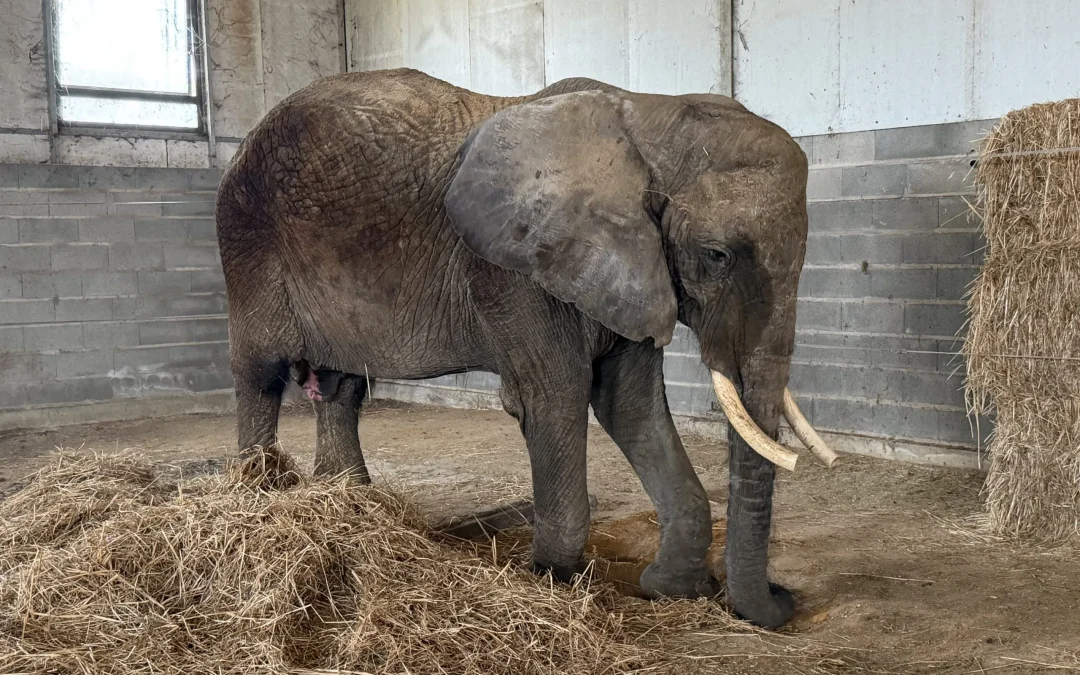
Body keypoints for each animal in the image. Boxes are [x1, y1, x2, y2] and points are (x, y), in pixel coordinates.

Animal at [215, 68, 837, 629]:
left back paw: (352, 505)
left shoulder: (630, 267)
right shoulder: (517, 272)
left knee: (340, 385)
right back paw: (258, 493)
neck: (648, 118)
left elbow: (628, 403)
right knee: (260, 373)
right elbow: (555, 398)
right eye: (716, 255)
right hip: (246, 240)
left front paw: (667, 589)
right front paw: (553, 582)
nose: (783, 600)